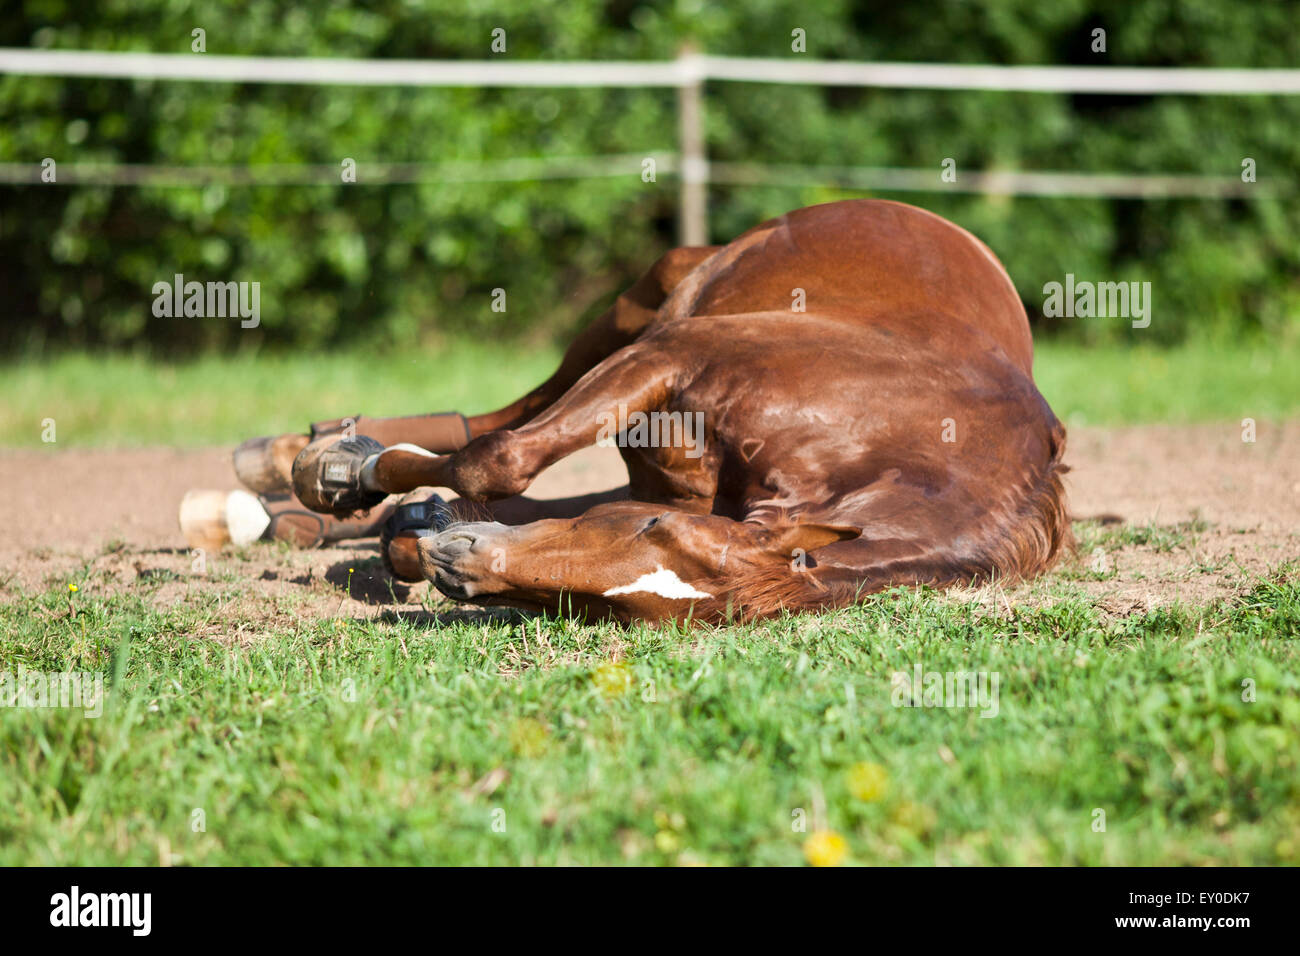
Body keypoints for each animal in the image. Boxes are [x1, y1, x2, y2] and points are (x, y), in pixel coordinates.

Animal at [230, 199, 1071, 623]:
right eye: (653, 532)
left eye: (628, 612)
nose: (459, 572)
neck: (896, 434)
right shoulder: (670, 356)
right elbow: (501, 458)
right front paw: (346, 472)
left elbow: (504, 492)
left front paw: (415, 531)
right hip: (646, 304)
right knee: (510, 417)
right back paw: (305, 461)